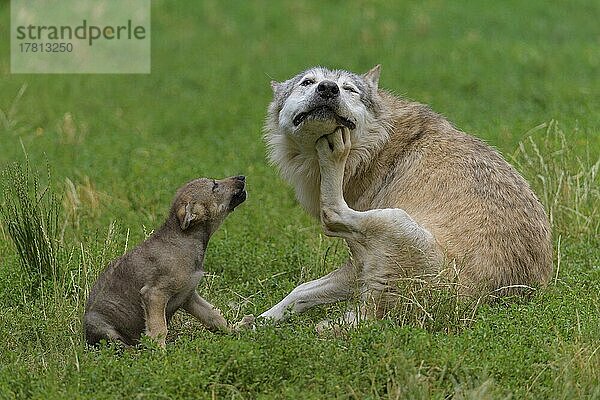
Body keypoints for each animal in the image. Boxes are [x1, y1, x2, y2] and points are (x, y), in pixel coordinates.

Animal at [260, 65, 552, 326]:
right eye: (308, 82)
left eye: (349, 89)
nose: (328, 88)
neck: (372, 149)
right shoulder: (359, 265)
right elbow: (299, 291)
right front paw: (260, 322)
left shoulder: (359, 257)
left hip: (394, 219)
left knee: (332, 212)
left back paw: (334, 152)